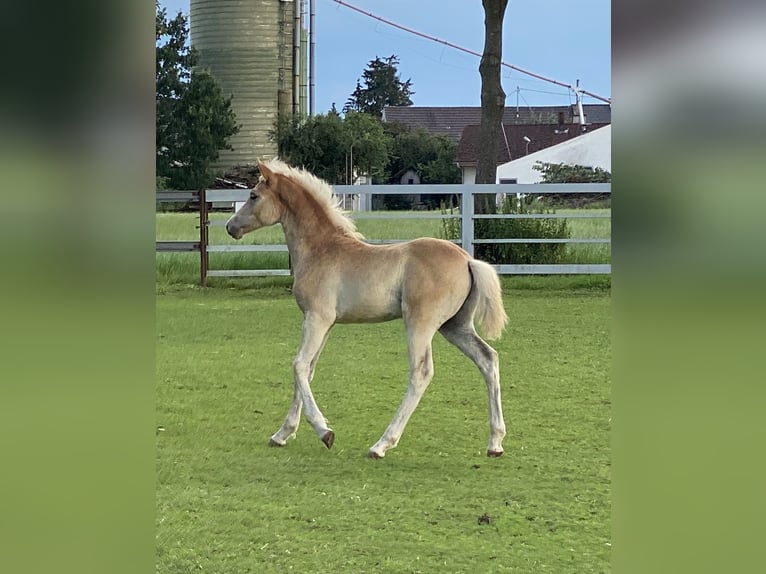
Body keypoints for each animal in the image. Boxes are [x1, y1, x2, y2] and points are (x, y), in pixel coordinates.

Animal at [225, 160, 508, 462]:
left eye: (253, 195)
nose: (231, 227)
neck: (321, 250)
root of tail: (468, 260)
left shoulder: (316, 318)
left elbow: (298, 365)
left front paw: (324, 432)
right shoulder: (326, 324)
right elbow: (308, 369)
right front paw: (282, 434)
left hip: (420, 324)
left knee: (421, 373)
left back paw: (381, 444)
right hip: (455, 326)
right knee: (488, 359)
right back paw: (495, 442)